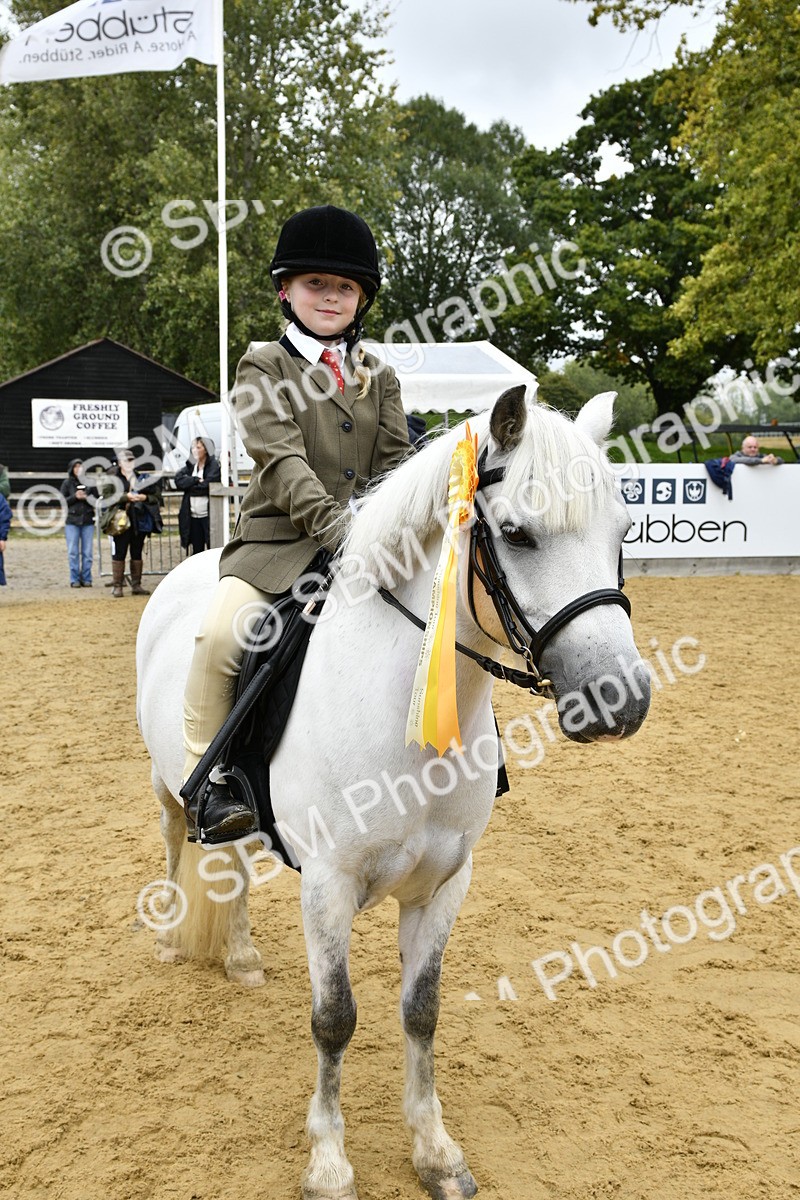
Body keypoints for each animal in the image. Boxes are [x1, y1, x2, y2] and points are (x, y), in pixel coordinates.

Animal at [136, 386, 651, 1200]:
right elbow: (335, 1019)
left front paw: (434, 1150)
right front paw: (329, 1161)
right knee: (176, 843)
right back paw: (170, 937)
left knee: (236, 869)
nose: (621, 700)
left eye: (623, 530)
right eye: (516, 534)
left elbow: (422, 1010)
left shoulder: (445, 882)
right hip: (167, 787)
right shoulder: (329, 884)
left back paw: (242, 956)